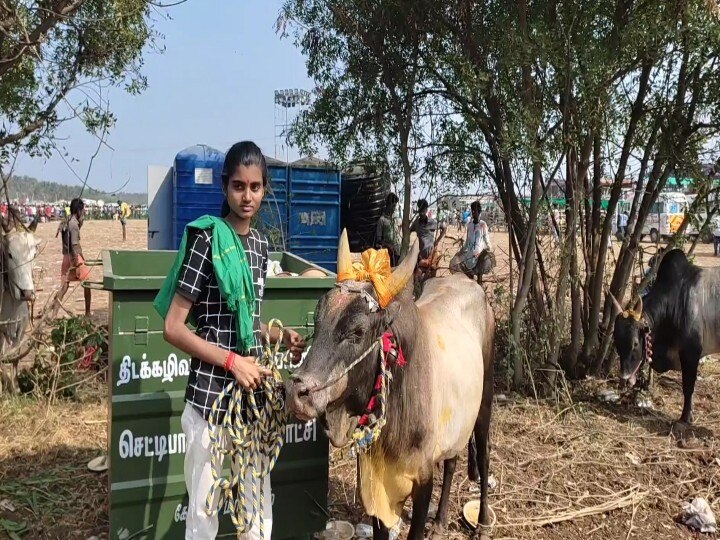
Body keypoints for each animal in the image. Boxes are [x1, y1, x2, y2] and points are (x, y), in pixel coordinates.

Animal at [286, 232, 496, 540]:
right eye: (317, 319)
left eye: (357, 332)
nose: (297, 393)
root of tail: (469, 282)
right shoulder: (375, 486)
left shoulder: (423, 481)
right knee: (452, 461)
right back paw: (441, 520)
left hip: (484, 404)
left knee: (483, 456)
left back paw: (481, 523)